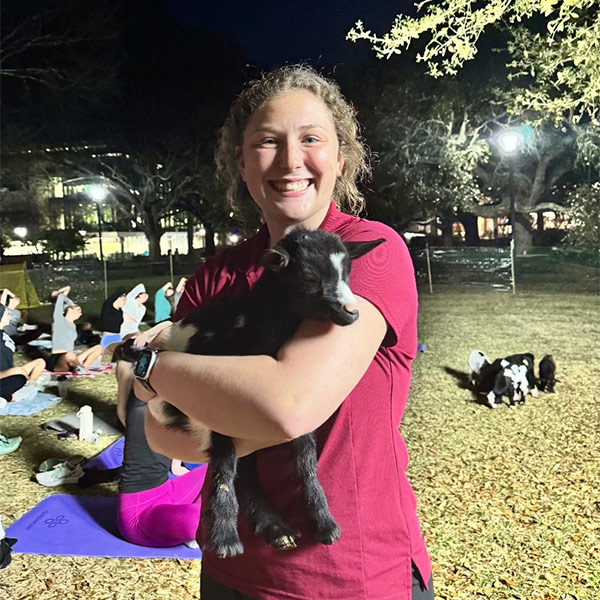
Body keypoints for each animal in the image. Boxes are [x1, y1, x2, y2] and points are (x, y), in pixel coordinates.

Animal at [116, 229, 384, 556]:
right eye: (308, 276)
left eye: (347, 272)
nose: (352, 313)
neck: (250, 321)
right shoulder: (211, 410)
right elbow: (223, 468)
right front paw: (225, 539)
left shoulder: (297, 419)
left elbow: (306, 462)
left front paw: (326, 524)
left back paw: (278, 530)